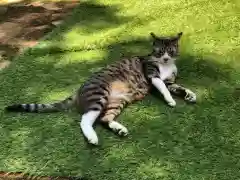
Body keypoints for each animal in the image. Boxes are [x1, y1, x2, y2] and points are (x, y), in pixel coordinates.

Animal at [5, 32, 197, 145]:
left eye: (170, 51)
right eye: (159, 52)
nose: (165, 58)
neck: (166, 66)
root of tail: (78, 90)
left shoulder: (171, 81)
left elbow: (178, 87)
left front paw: (190, 95)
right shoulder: (152, 75)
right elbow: (163, 87)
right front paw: (170, 100)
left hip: (117, 101)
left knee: (105, 118)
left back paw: (119, 129)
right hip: (99, 94)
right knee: (85, 119)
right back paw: (92, 137)